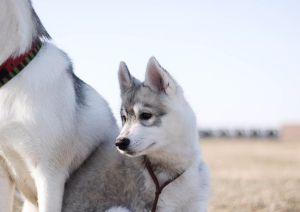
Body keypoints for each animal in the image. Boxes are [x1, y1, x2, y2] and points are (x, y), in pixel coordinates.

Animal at [63, 57, 209, 211]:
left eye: (145, 115)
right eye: (124, 118)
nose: (120, 143)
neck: (172, 168)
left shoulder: (196, 205)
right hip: (118, 209)